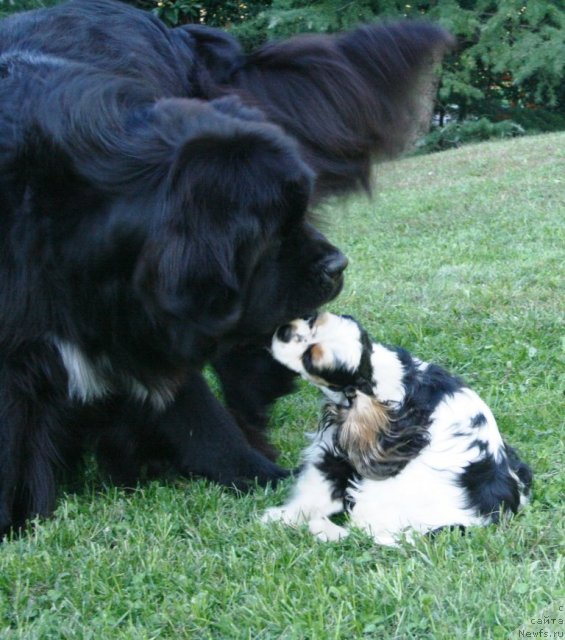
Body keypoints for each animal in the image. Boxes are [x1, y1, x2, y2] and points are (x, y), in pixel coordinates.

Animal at [0, 0, 450, 532]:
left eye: (298, 213)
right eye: (272, 233)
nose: (338, 264)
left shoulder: (152, 325)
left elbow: (196, 415)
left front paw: (262, 475)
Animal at [262, 312, 532, 544]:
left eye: (310, 359)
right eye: (312, 319)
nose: (284, 331)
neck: (376, 373)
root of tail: (481, 518)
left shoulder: (340, 453)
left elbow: (316, 491)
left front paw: (279, 517)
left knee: (362, 530)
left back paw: (321, 528)